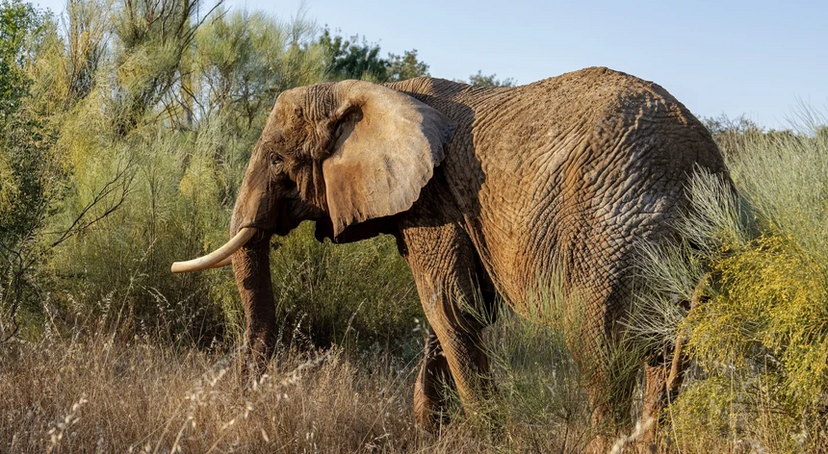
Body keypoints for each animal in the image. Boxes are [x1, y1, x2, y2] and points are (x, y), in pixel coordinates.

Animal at [171, 66, 729, 448]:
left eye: (279, 163)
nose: (240, 402)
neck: (378, 91)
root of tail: (701, 164)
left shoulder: (435, 202)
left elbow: (449, 306)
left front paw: (488, 437)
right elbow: (453, 309)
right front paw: (429, 432)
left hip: (612, 233)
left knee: (598, 342)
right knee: (662, 348)